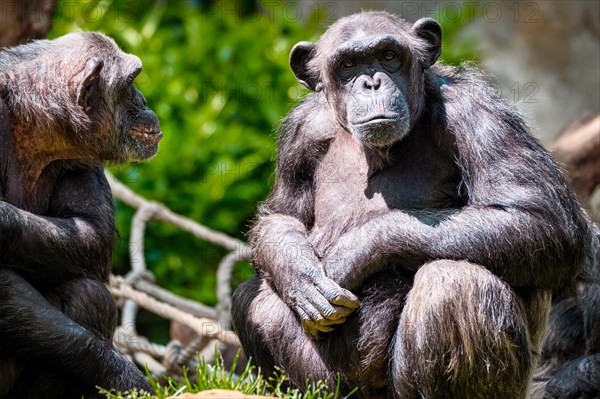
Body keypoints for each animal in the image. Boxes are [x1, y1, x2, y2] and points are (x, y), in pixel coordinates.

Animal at [0, 32, 162, 399]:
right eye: (131, 82)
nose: (144, 100)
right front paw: (123, 375)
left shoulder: (81, 151)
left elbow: (92, 232)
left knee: (89, 296)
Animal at [231, 10, 600, 398]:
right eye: (348, 65)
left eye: (389, 56)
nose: (372, 83)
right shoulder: (300, 134)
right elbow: (282, 215)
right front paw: (300, 274)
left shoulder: (477, 111)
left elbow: (540, 216)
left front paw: (351, 253)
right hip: (333, 385)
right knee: (251, 296)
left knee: (455, 283)